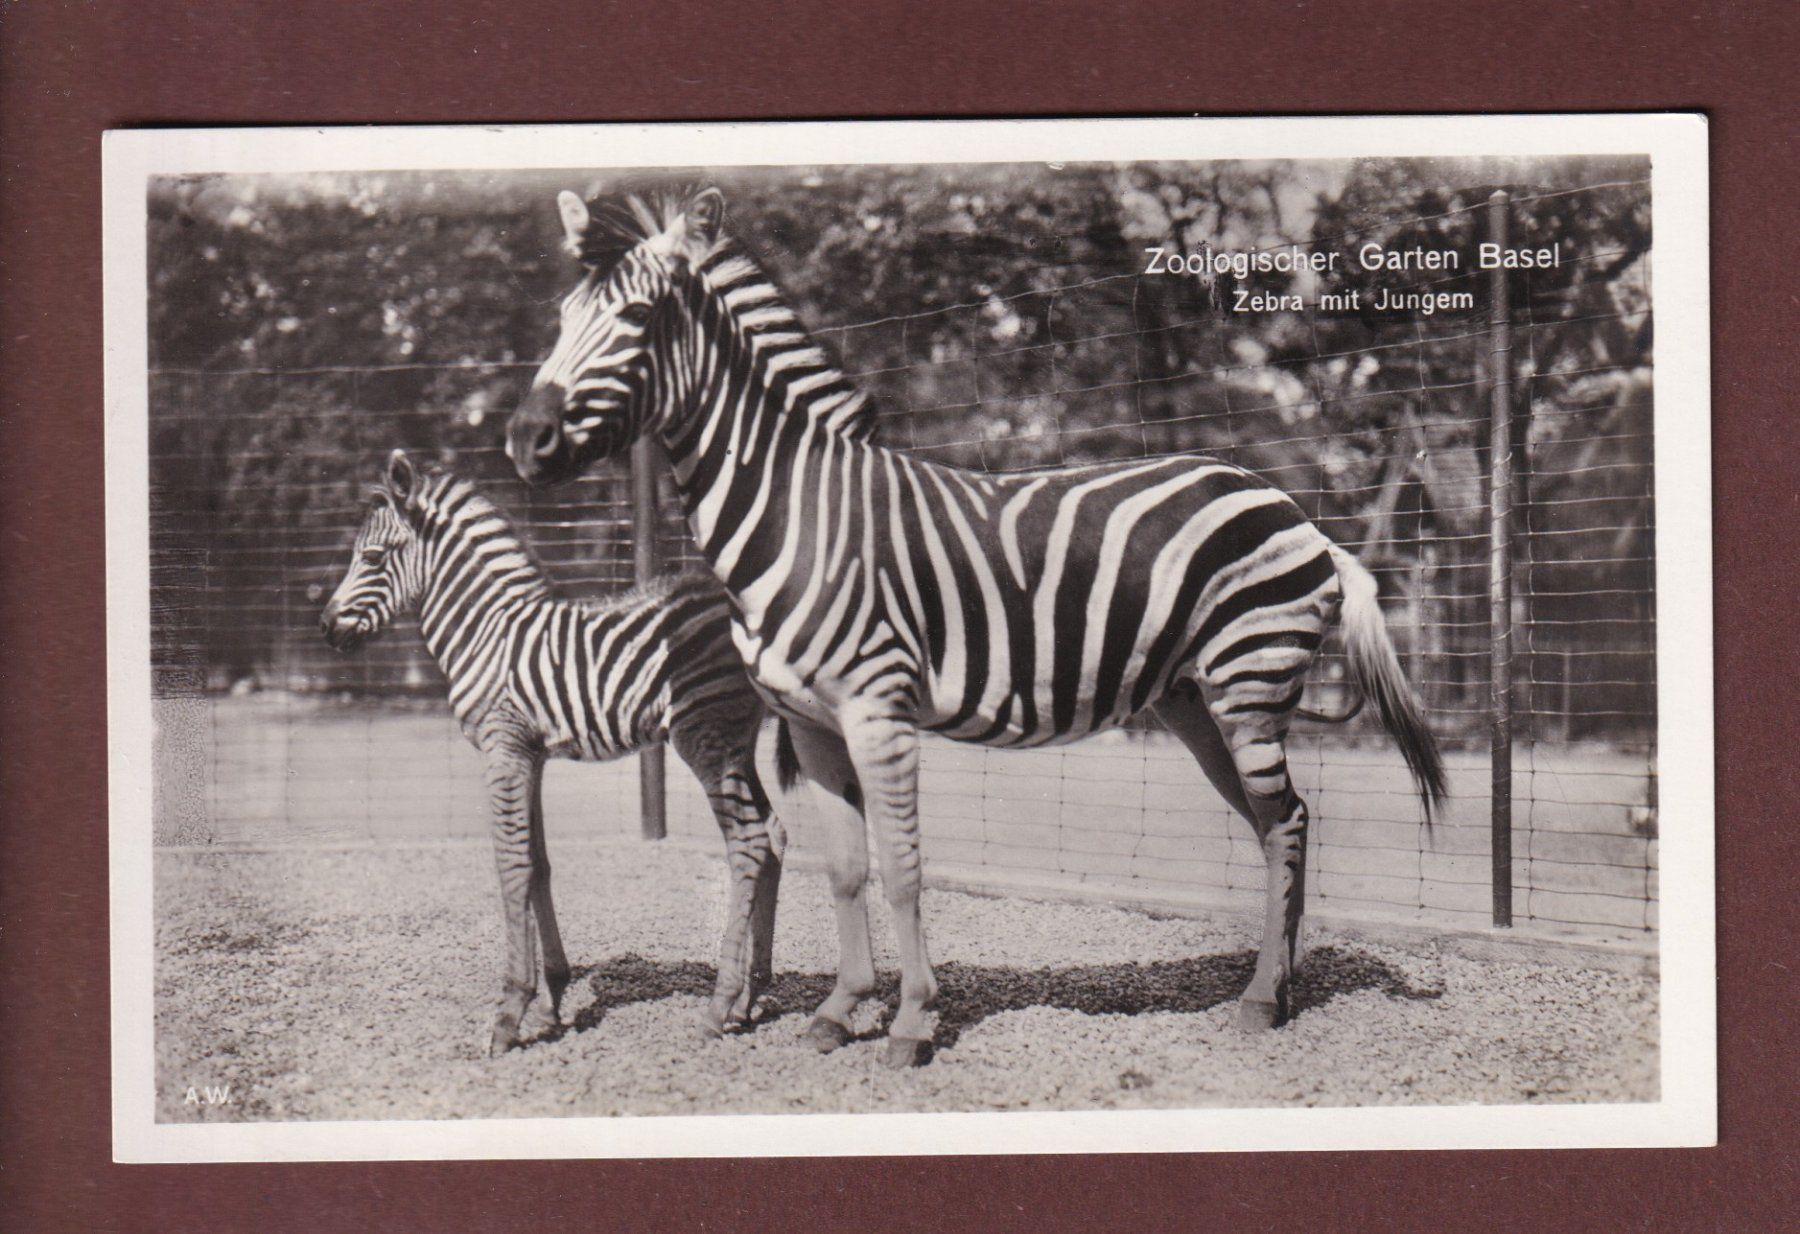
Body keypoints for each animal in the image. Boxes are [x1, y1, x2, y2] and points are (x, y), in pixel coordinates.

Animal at [321, 448, 788, 1055]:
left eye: (372, 557)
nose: (327, 629)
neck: (487, 633)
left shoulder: (502, 749)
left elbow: (512, 865)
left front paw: (510, 1011)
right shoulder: (533, 755)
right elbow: (539, 863)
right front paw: (553, 997)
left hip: (704, 733)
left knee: (749, 842)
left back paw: (718, 1005)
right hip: (737, 739)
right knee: (773, 836)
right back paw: (752, 995)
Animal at [505, 188, 1447, 1068]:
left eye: (634, 319)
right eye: (561, 318)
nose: (524, 439)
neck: (796, 512)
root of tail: (1293, 508)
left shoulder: (877, 712)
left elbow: (903, 870)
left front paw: (912, 1022)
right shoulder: (809, 724)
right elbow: (845, 870)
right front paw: (839, 1011)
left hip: (1249, 681)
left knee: (1286, 822)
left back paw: (1259, 1001)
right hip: (1195, 701)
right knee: (1277, 825)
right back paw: (1282, 986)